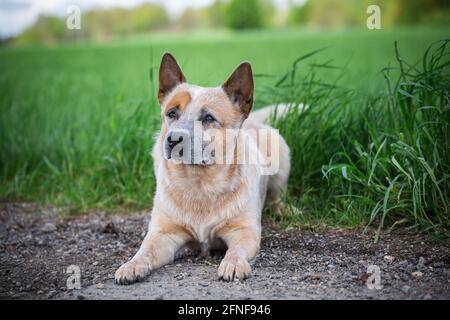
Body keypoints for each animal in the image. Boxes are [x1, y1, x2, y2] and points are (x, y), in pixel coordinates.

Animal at [115, 53, 292, 284]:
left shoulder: (245, 230)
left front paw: (233, 263)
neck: (198, 184)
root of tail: (253, 120)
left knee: (277, 195)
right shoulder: (164, 233)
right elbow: (145, 249)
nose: (173, 139)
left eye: (208, 118)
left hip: (281, 159)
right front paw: (131, 265)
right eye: (172, 113)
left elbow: (236, 250)